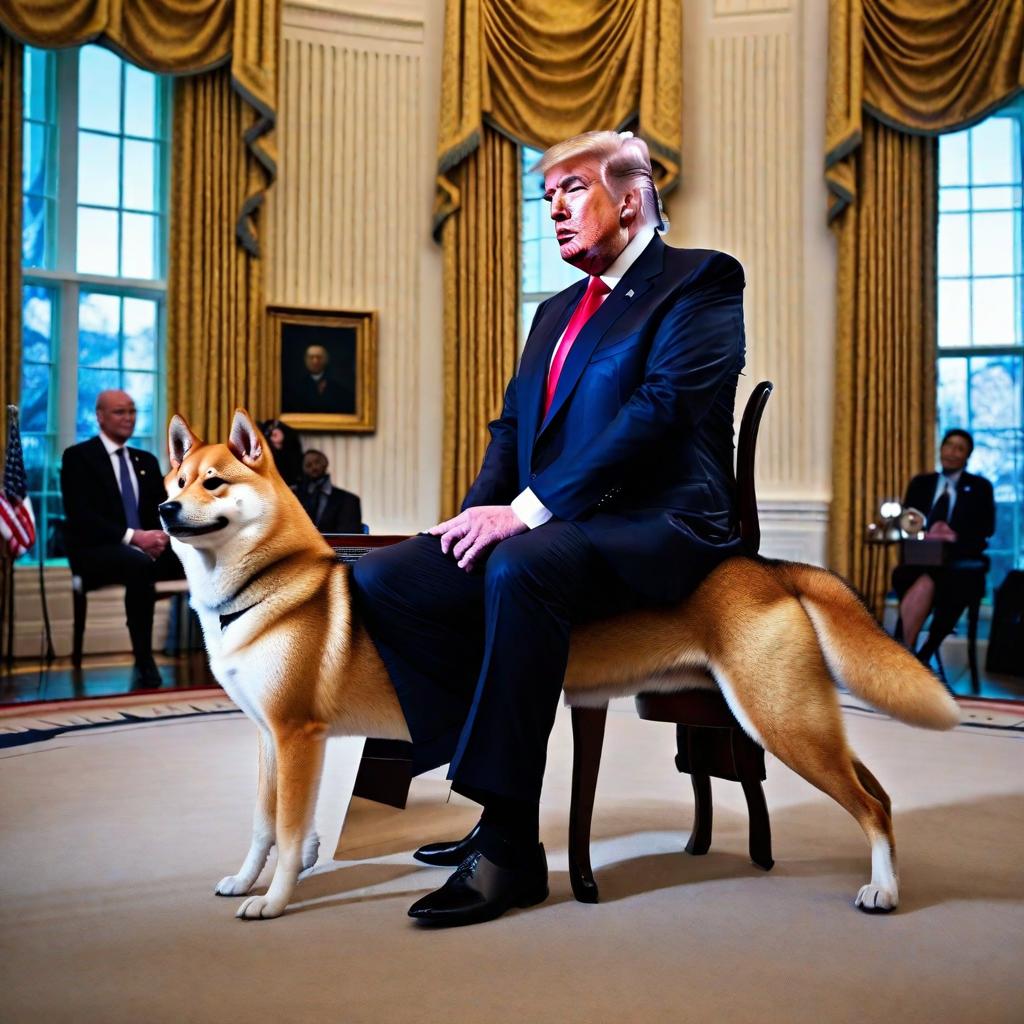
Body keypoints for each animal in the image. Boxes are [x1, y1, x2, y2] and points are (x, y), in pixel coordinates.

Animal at [159, 411, 958, 925]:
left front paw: (274, 901)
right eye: (174, 479)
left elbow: (290, 832)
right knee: (877, 792)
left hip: (782, 719)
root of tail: (761, 562)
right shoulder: (271, 740)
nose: (164, 510)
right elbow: (263, 826)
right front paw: (244, 880)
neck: (272, 583)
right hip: (778, 719)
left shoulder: (300, 737)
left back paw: (884, 894)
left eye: (214, 483)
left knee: (872, 805)